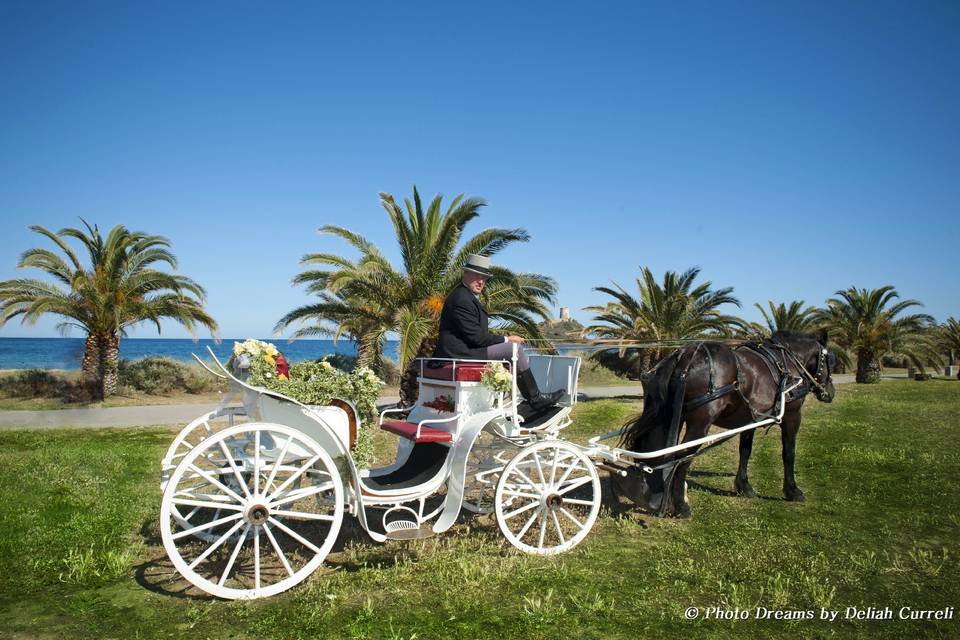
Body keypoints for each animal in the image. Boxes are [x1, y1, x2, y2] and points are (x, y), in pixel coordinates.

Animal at [616, 330, 832, 516]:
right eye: (830, 359)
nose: (830, 392)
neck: (787, 363)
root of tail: (685, 356)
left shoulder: (749, 419)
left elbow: (745, 451)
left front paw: (744, 486)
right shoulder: (792, 416)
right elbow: (789, 453)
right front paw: (792, 491)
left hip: (670, 416)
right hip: (700, 422)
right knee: (683, 456)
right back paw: (681, 506)